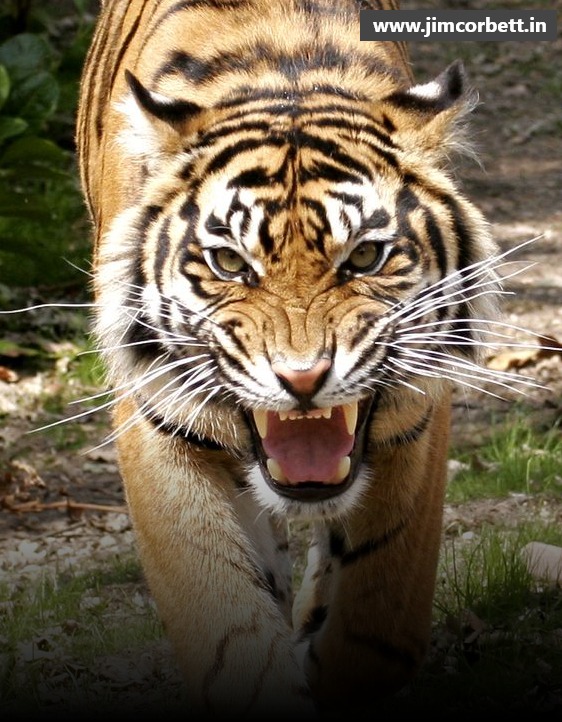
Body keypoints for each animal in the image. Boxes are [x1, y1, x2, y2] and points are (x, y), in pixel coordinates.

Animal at [75, 0, 498, 716]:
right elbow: (227, 624)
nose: (303, 379)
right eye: (228, 263)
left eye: (364, 256)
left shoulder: (418, 416)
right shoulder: (155, 414)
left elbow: (380, 620)